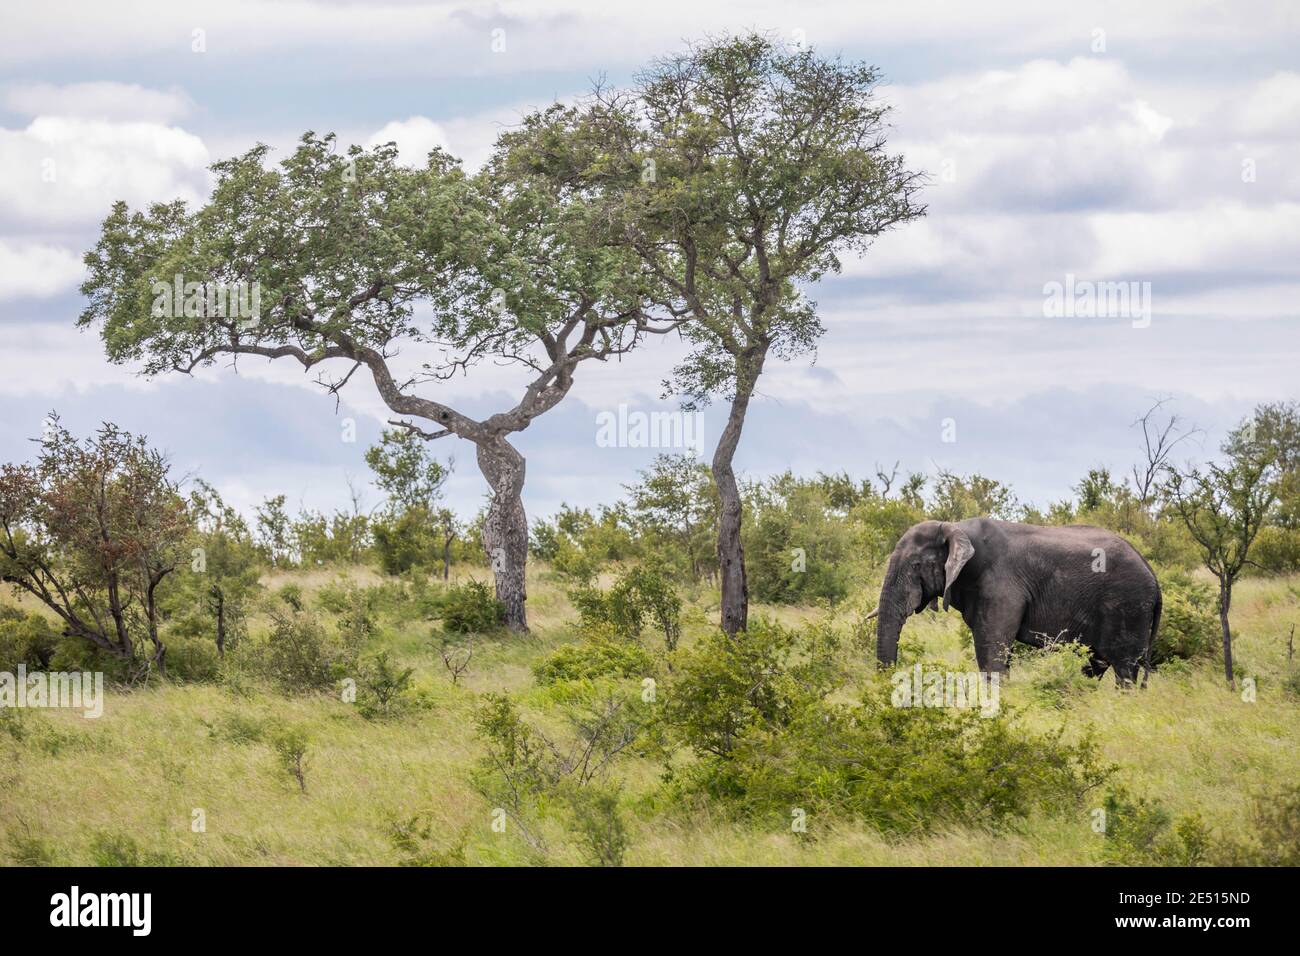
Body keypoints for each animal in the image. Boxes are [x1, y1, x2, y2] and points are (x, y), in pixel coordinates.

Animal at [873, 520, 1159, 686]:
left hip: (1129, 607)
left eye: (916, 565)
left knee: (1124, 668)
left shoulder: (1002, 586)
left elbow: (991, 650)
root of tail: (1153, 576)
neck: (954, 527)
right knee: (1095, 665)